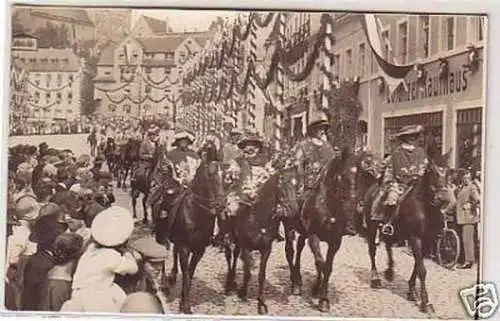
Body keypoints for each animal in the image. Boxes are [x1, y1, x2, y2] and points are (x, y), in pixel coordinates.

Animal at [152, 142, 223, 312]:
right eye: (210, 175)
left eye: (225, 176)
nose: (221, 205)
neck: (196, 214)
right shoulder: (185, 248)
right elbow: (185, 274)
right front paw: (185, 306)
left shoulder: (199, 250)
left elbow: (189, 274)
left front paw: (183, 302)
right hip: (160, 235)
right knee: (163, 255)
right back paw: (164, 284)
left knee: (174, 252)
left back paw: (172, 276)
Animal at [222, 166, 298, 314]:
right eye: (283, 185)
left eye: (298, 186)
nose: (294, 210)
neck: (258, 218)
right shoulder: (247, 247)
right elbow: (247, 272)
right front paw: (242, 292)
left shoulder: (266, 249)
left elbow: (261, 275)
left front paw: (261, 303)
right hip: (228, 237)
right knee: (229, 255)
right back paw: (229, 283)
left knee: (235, 256)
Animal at [282, 148, 360, 312]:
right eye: (342, 175)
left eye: (358, 175)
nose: (354, 198)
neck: (328, 207)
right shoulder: (314, 236)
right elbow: (320, 262)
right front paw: (319, 292)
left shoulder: (335, 242)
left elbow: (327, 266)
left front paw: (321, 295)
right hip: (289, 228)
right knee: (290, 251)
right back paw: (295, 284)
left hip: (303, 233)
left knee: (299, 248)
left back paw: (299, 279)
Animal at [358, 141, 452, 314]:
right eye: (431, 171)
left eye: (448, 172)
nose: (443, 199)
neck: (425, 208)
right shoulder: (415, 239)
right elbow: (422, 269)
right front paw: (425, 302)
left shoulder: (427, 240)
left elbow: (417, 265)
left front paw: (412, 291)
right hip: (372, 229)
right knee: (372, 252)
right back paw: (376, 279)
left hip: (393, 232)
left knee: (388, 245)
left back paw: (389, 271)